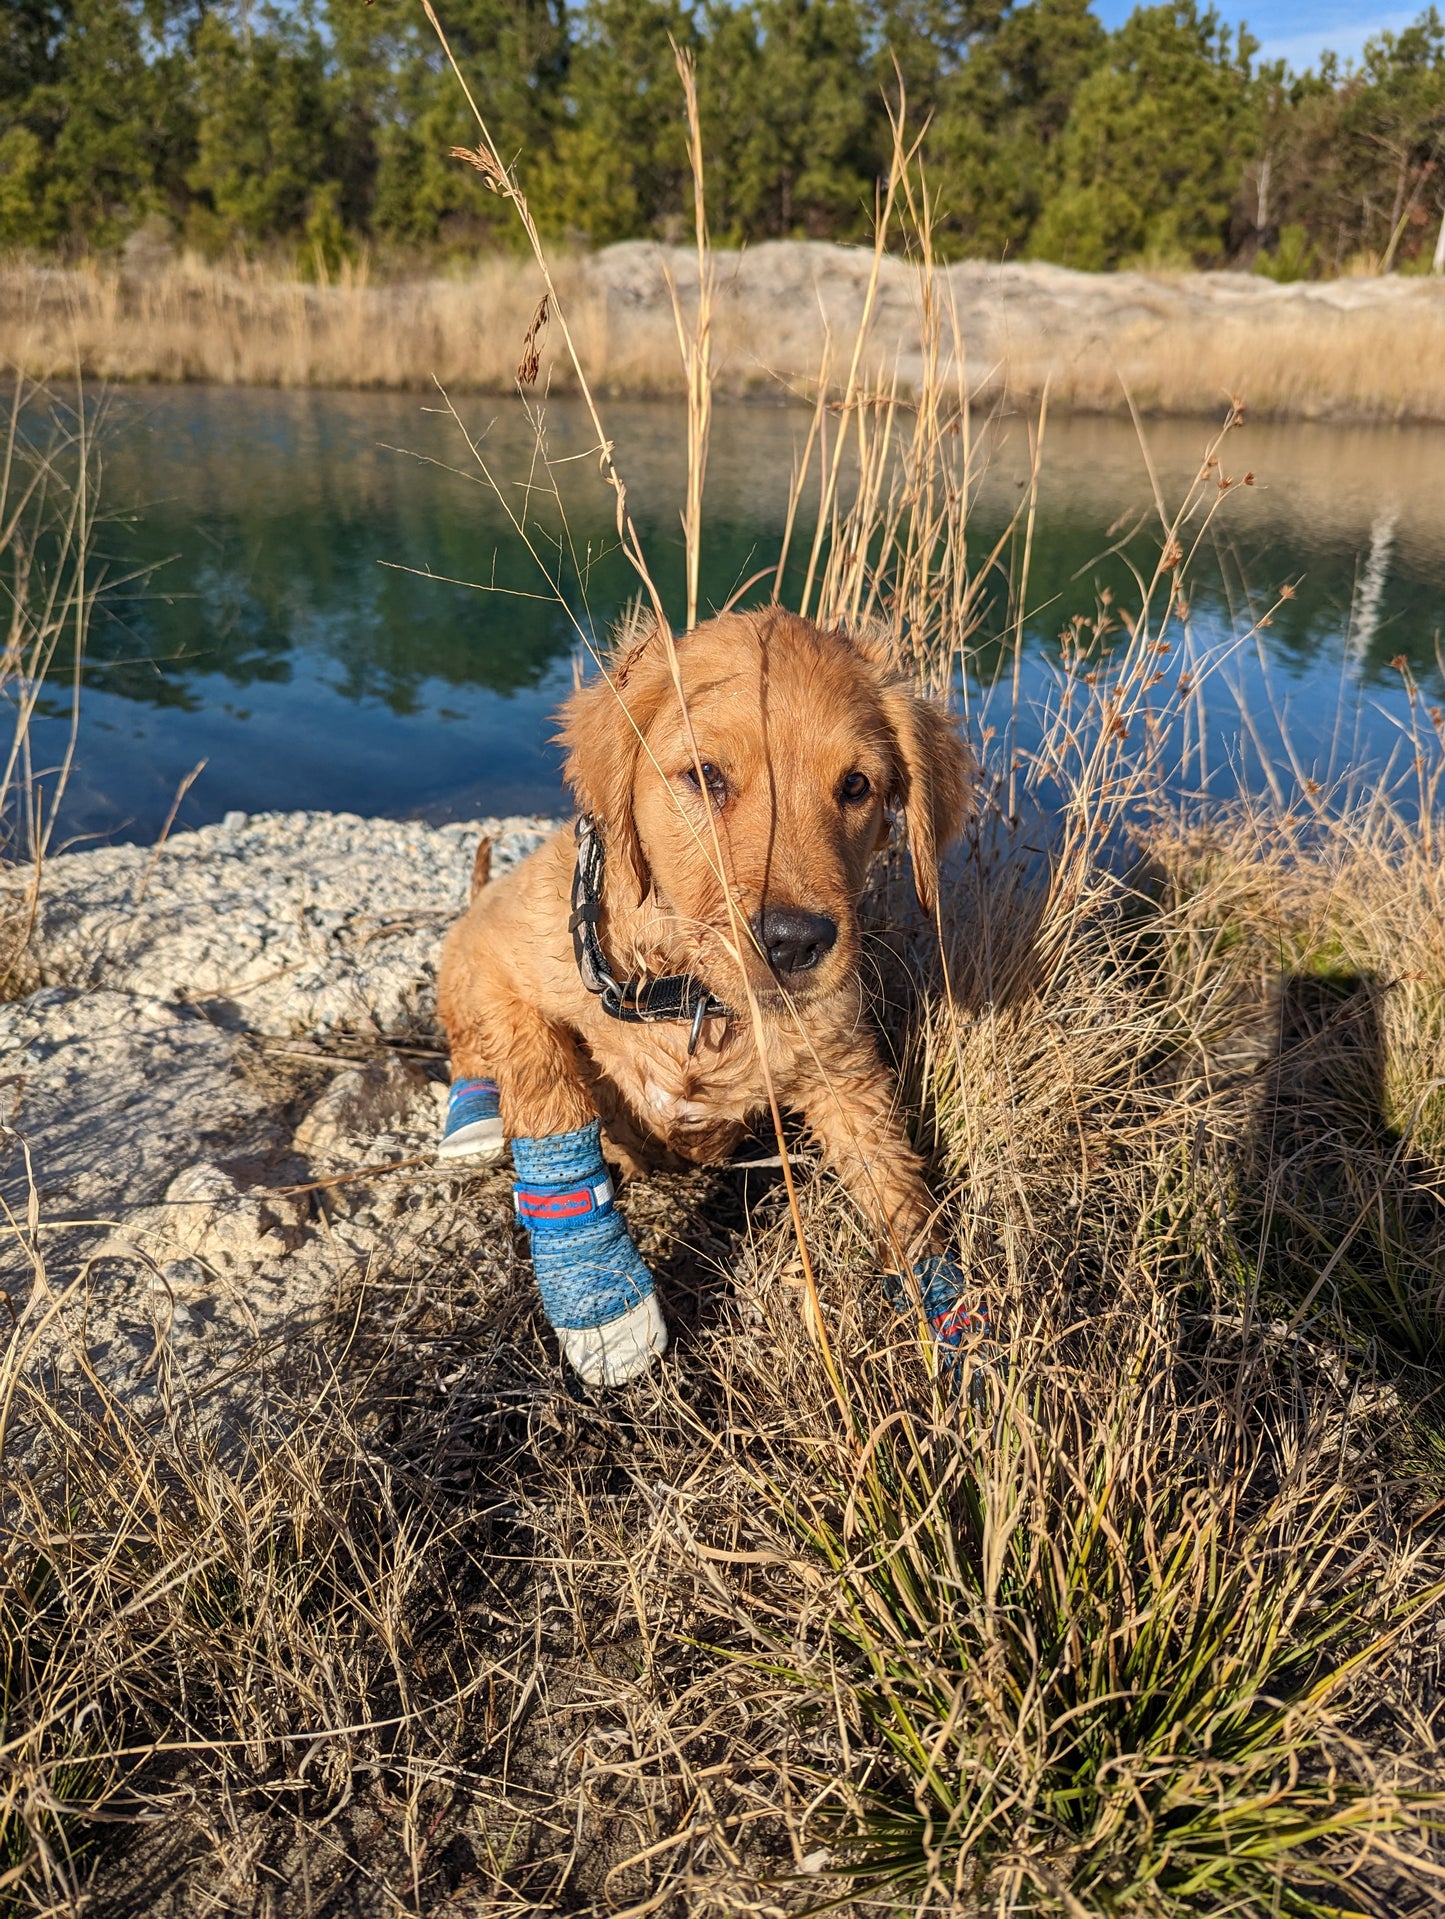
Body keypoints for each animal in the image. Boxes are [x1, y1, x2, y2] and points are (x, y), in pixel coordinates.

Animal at [437, 598, 971, 1381]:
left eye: (856, 786)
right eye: (706, 775)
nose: (795, 942)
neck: (686, 994)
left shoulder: (843, 1068)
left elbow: (895, 1183)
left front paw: (953, 1319)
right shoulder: (504, 963)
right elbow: (545, 1079)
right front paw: (606, 1305)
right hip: (462, 953)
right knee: (468, 1047)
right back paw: (471, 1114)